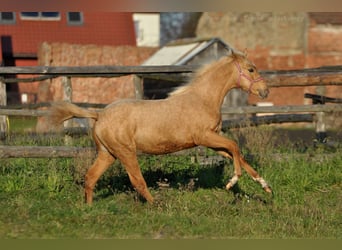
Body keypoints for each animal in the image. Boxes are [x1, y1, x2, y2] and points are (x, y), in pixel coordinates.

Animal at [49, 49, 272, 205]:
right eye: (251, 69)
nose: (265, 91)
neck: (202, 99)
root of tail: (100, 114)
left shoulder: (212, 141)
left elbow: (237, 154)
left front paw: (265, 186)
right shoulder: (204, 137)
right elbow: (234, 147)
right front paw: (232, 181)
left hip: (107, 154)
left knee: (90, 178)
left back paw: (88, 208)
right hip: (126, 153)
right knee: (137, 181)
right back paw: (157, 205)